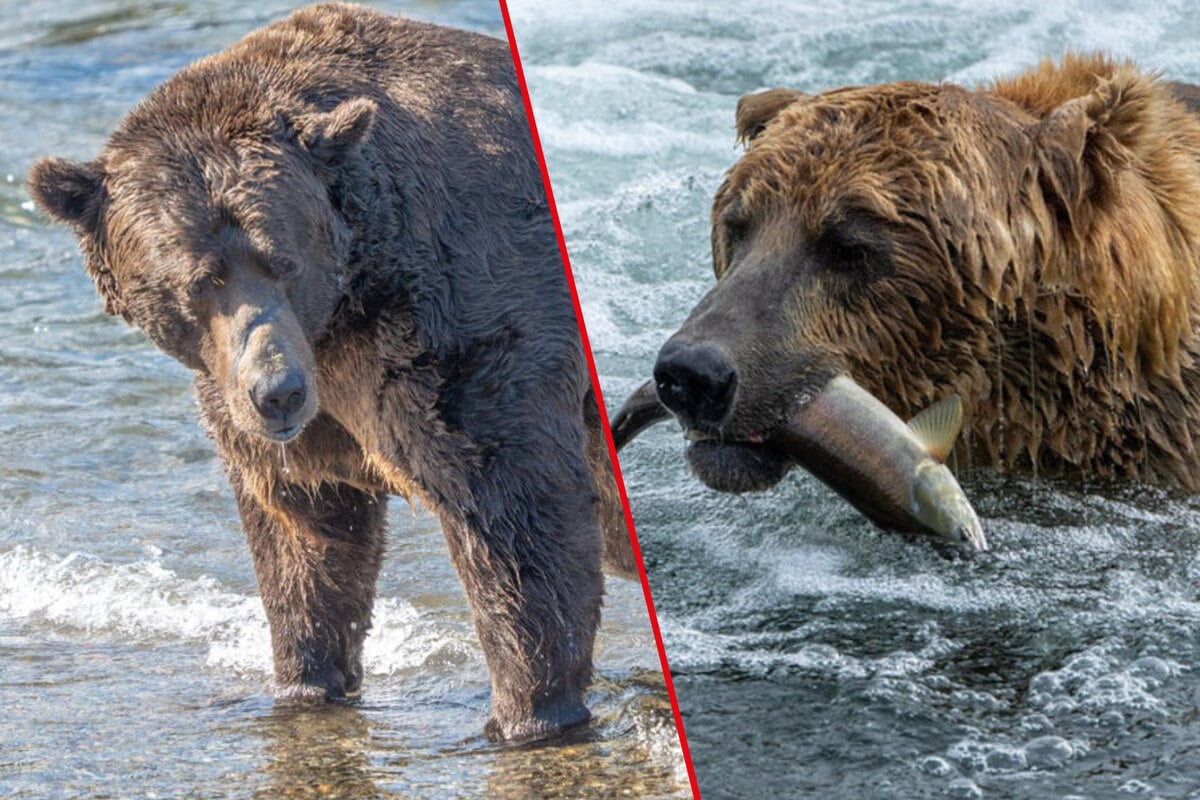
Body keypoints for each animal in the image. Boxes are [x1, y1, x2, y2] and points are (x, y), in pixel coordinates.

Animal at [28, 3, 636, 743]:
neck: (346, 308)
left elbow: (516, 514)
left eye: (283, 260)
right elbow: (307, 540)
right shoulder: (292, 410)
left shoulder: (460, 325)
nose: (279, 392)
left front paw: (531, 714)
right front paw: (304, 681)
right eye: (200, 281)